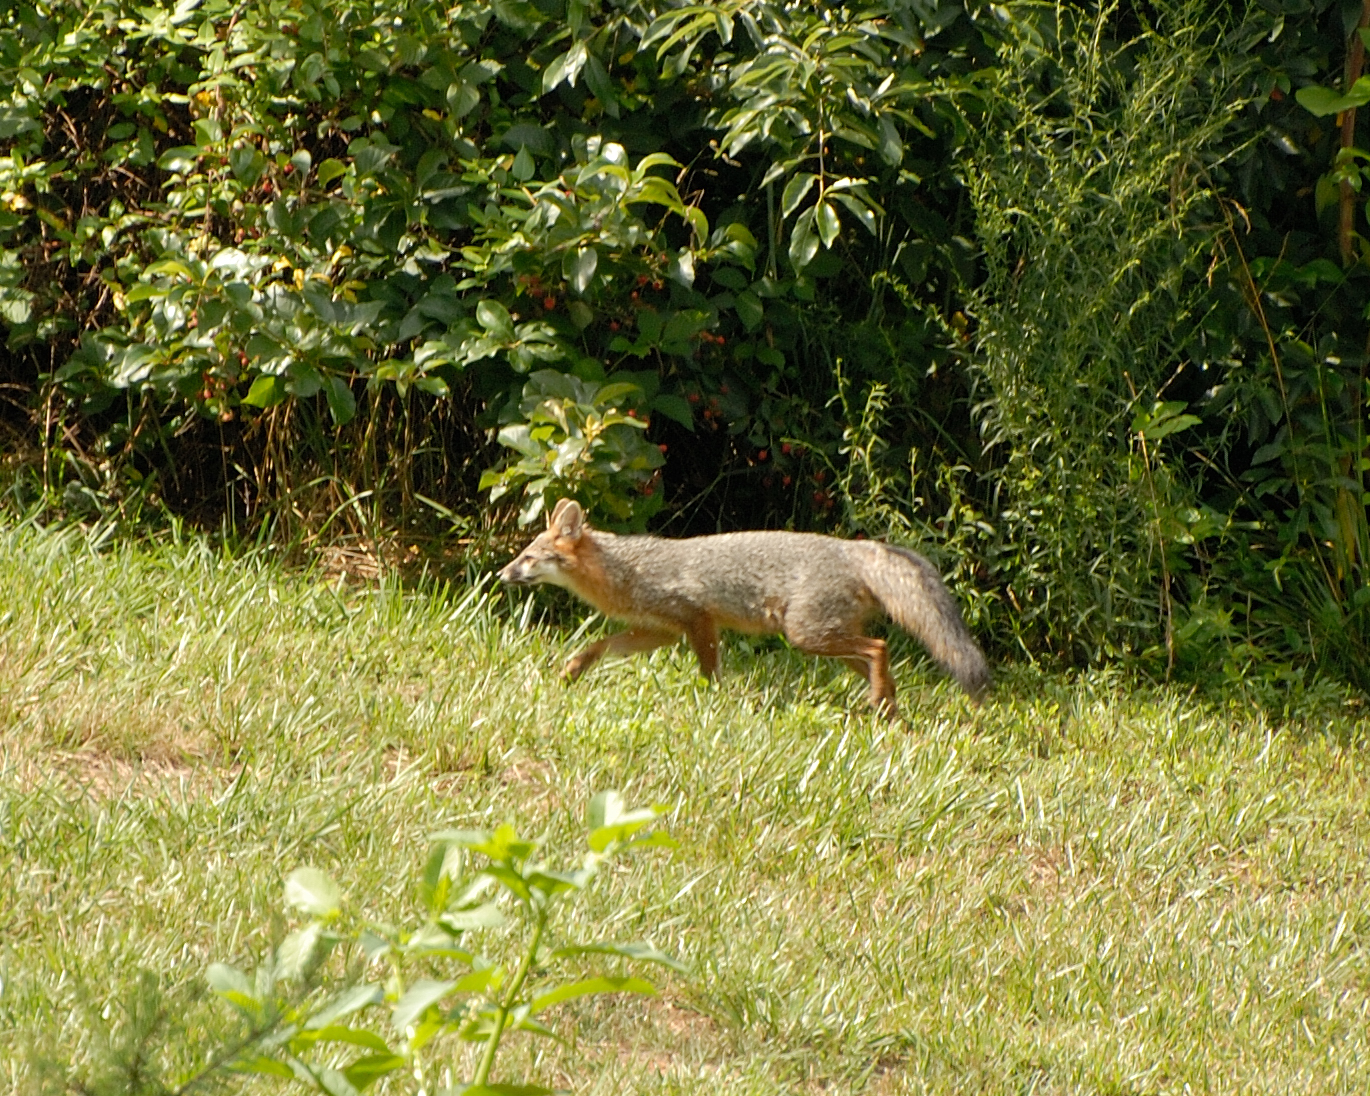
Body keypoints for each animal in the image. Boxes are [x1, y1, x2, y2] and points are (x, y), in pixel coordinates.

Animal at [497, 498, 990, 717]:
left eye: (528, 557)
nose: (501, 574)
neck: (629, 571)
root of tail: (853, 548)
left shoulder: (698, 621)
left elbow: (708, 670)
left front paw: (713, 701)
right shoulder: (661, 630)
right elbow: (601, 646)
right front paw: (572, 670)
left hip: (807, 636)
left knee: (880, 647)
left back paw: (880, 703)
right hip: (825, 642)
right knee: (877, 659)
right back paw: (885, 708)